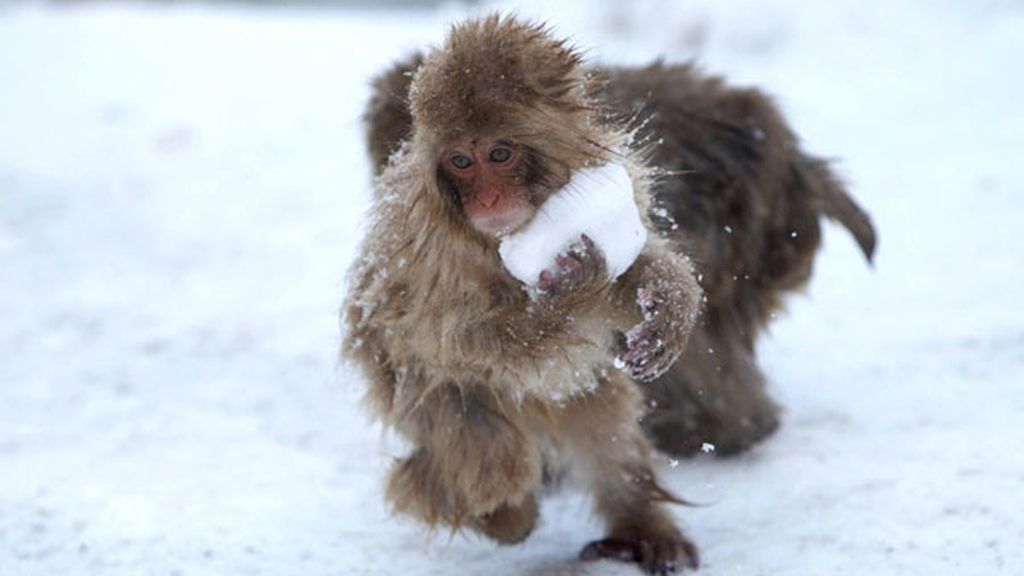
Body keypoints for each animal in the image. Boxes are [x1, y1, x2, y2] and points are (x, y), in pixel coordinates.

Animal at [342, 14, 872, 573]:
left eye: (499, 154)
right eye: (460, 161)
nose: (487, 199)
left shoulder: (615, 184)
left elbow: (635, 269)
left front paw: (666, 310)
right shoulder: (429, 251)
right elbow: (457, 340)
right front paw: (573, 294)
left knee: (601, 418)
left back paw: (640, 527)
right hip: (423, 402)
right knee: (482, 442)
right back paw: (500, 510)